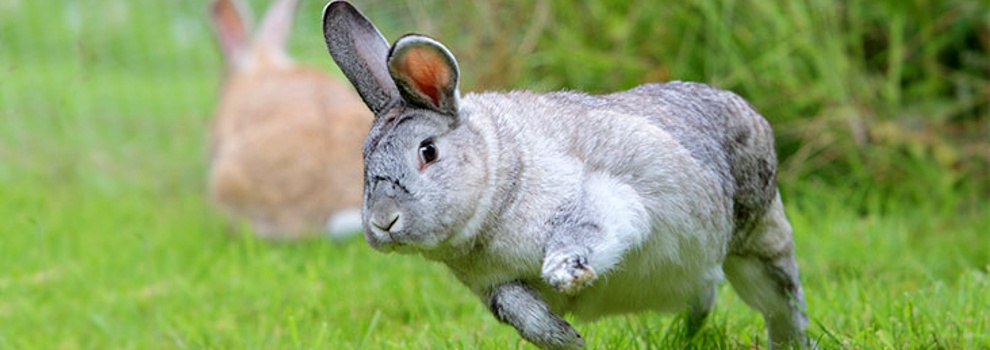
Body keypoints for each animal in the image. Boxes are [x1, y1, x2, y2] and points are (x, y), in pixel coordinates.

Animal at [322, 1, 808, 348]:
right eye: (364, 162)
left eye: (428, 151)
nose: (383, 222)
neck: (503, 177)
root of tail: (745, 110)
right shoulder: (497, 286)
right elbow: (520, 311)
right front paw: (567, 339)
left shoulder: (601, 201)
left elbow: (586, 231)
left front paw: (565, 274)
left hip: (758, 243)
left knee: (781, 302)